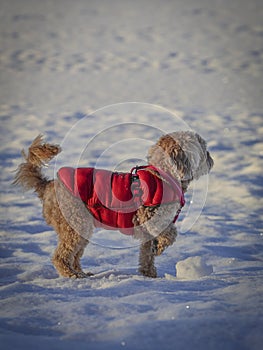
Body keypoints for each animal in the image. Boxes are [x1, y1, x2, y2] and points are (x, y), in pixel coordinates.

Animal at [13, 131, 214, 278]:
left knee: (75, 255)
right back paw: (71, 275)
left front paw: (149, 274)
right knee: (61, 256)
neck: (164, 174)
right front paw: (159, 249)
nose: (211, 158)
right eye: (203, 148)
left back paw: (82, 273)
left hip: (80, 227)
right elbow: (170, 234)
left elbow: (146, 255)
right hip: (75, 222)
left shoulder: (148, 231)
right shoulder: (151, 217)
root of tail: (47, 186)